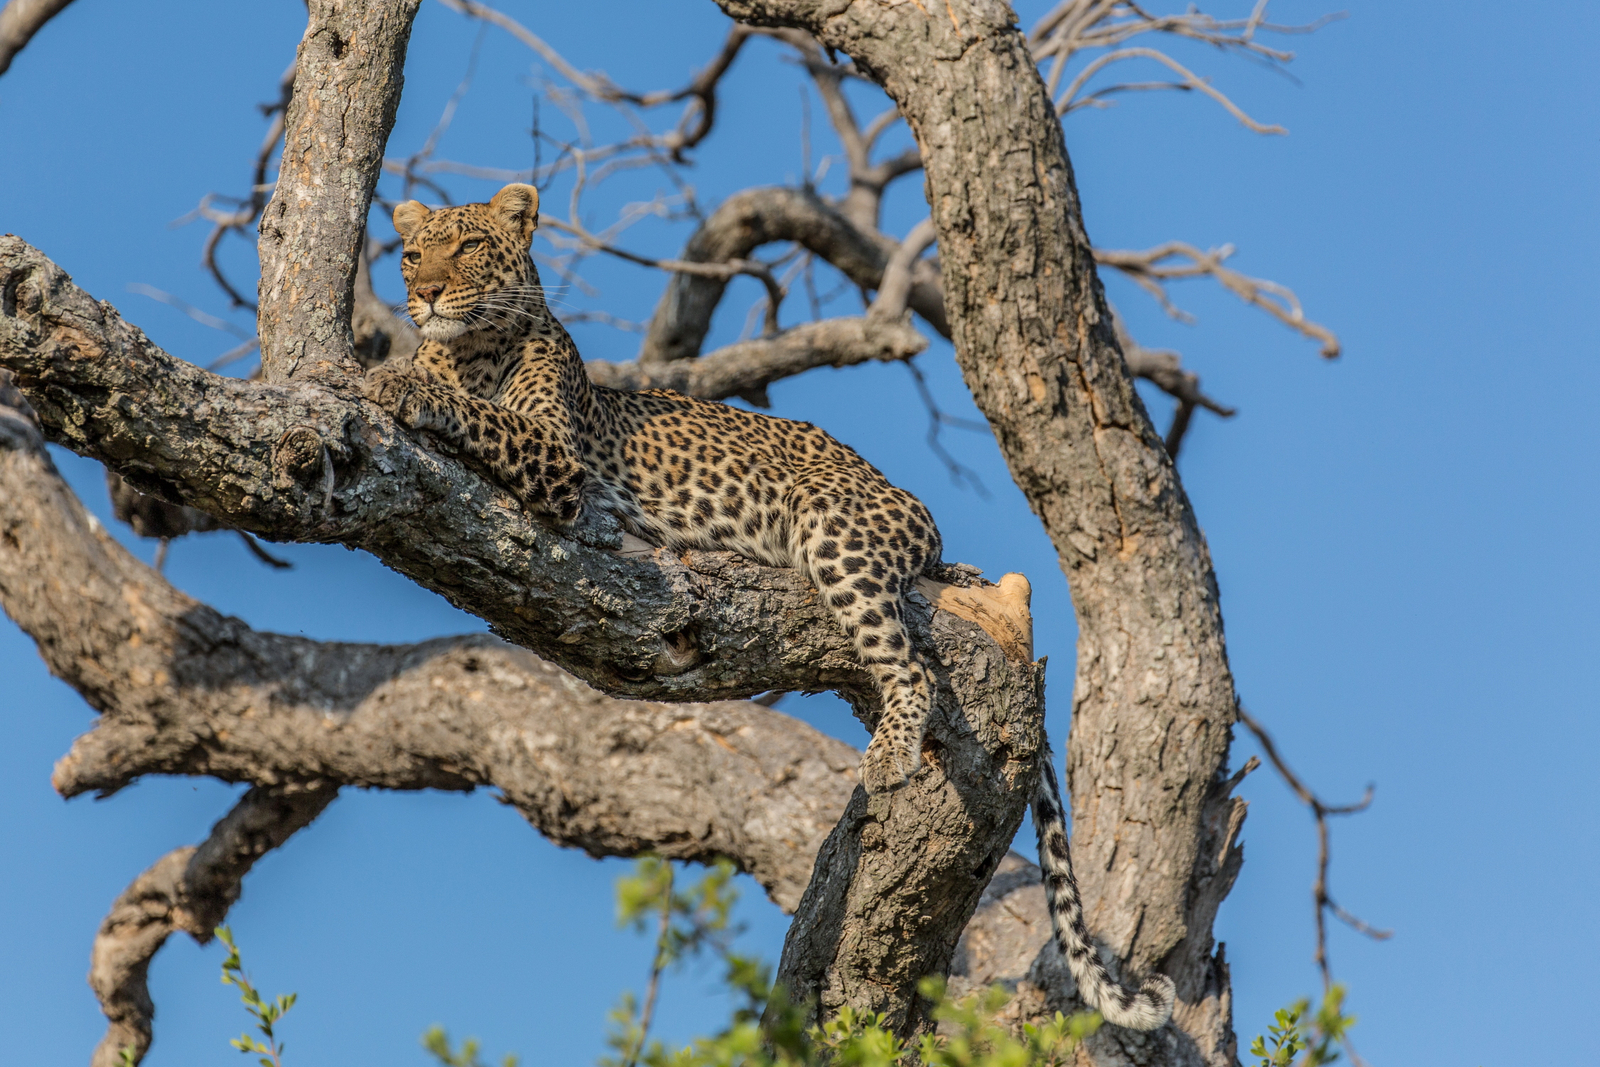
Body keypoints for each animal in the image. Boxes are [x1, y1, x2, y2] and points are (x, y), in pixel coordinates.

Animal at [363, 183, 1174, 1030]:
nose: (425, 292)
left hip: (835, 525)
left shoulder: (556, 458)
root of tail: (919, 517)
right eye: (413, 254)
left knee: (910, 667)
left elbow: (490, 417)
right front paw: (404, 371)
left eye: (469, 247)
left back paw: (889, 754)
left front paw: (400, 384)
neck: (471, 350)